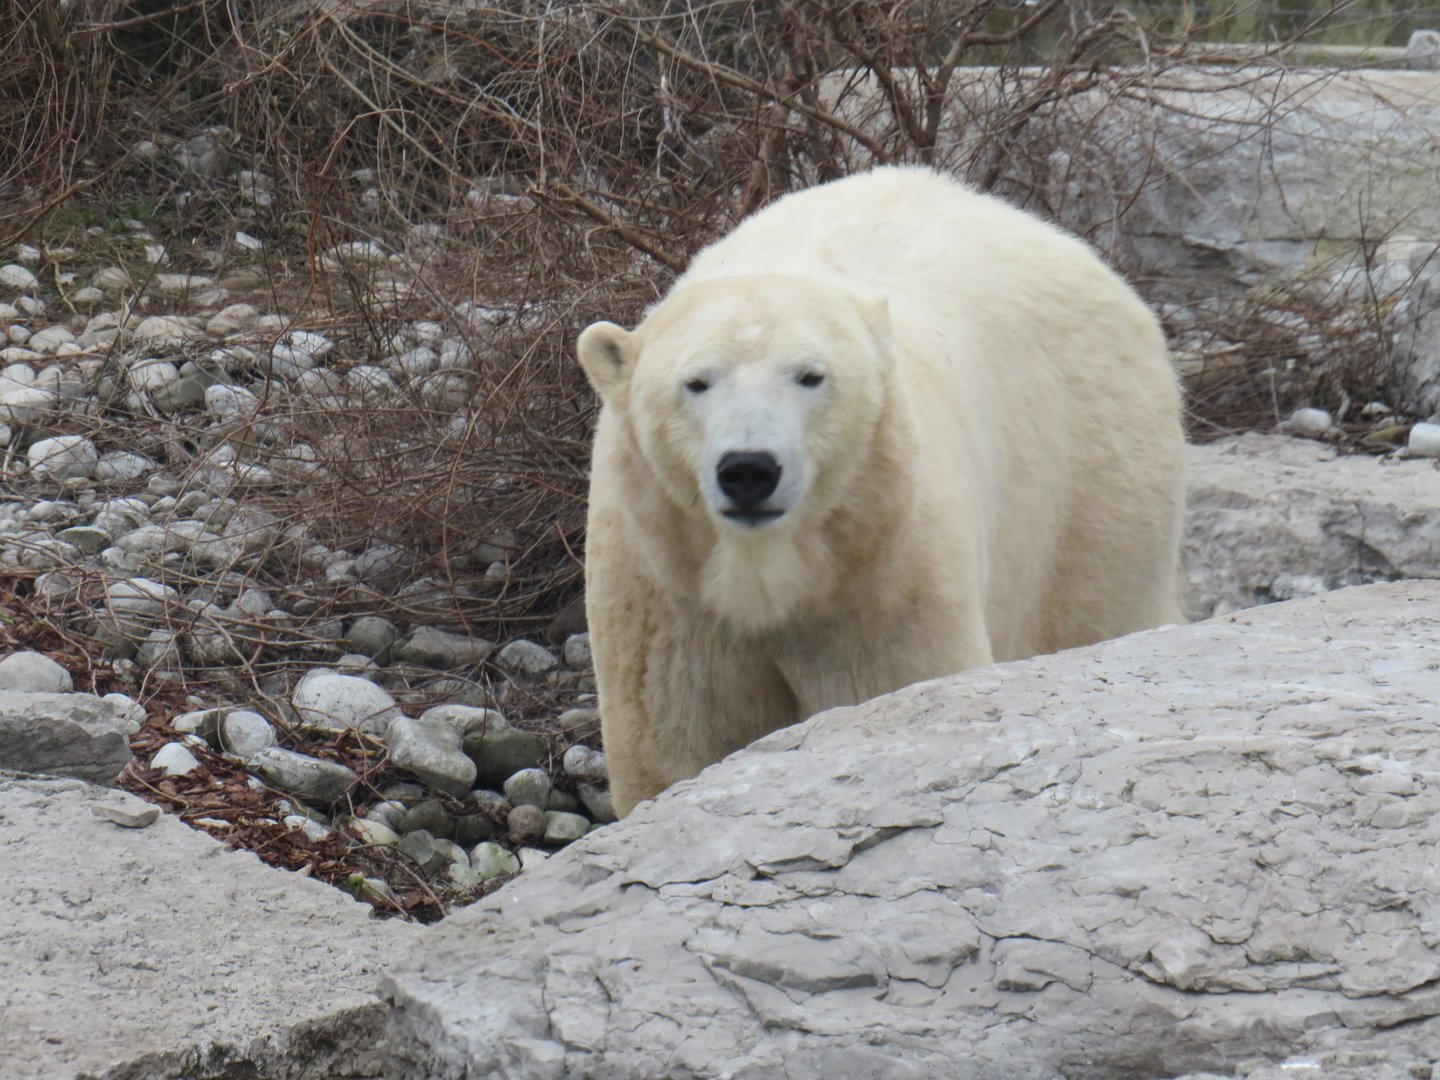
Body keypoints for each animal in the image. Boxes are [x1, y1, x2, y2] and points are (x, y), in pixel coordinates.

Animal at [576, 166, 1186, 817]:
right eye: (696, 382)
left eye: (810, 375)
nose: (749, 469)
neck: (771, 581)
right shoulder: (665, 595)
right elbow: (673, 747)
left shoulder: (886, 574)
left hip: (1094, 486)